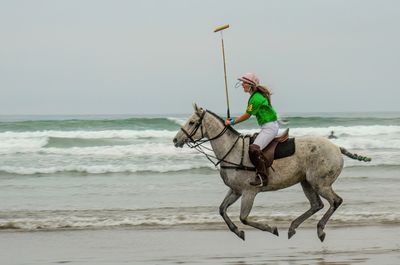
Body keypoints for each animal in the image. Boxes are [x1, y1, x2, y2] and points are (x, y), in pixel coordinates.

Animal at [173, 103, 370, 241]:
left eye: (192, 122)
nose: (175, 140)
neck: (233, 150)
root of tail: (337, 148)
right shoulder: (236, 190)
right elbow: (222, 210)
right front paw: (238, 232)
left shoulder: (249, 191)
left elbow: (244, 217)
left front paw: (271, 228)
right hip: (306, 182)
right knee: (317, 204)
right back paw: (292, 227)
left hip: (320, 183)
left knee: (335, 201)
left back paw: (320, 229)